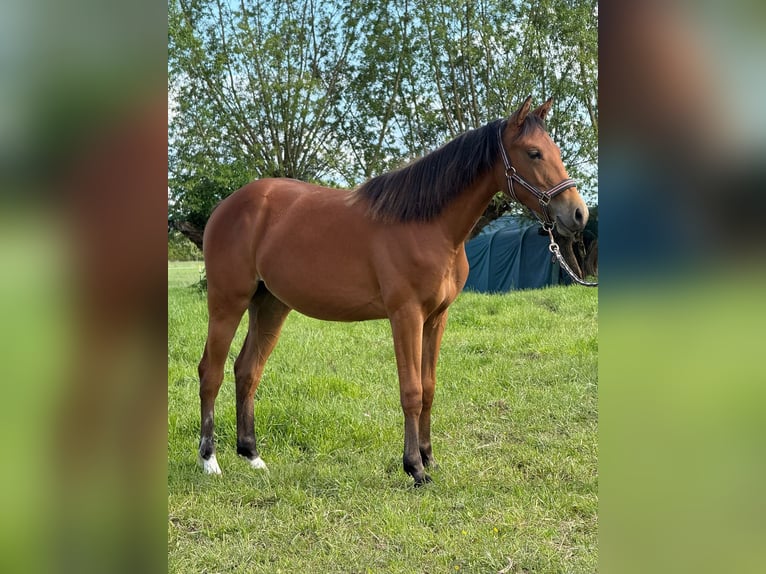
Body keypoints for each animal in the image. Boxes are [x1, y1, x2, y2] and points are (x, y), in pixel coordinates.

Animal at [197, 96, 589, 486]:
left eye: (554, 150)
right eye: (534, 153)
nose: (578, 214)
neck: (428, 224)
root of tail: (228, 206)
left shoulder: (436, 318)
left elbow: (429, 387)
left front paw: (429, 458)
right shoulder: (406, 315)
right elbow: (411, 391)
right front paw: (414, 468)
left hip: (271, 305)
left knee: (247, 370)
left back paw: (251, 455)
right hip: (227, 304)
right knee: (211, 372)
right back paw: (209, 460)